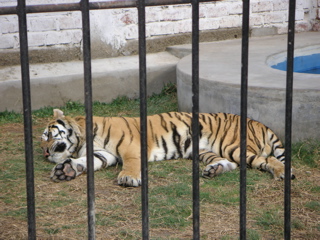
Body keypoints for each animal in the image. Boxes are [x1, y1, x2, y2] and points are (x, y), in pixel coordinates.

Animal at [40, 108, 296, 187]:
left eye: (47, 136)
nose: (45, 153)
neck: (84, 138)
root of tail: (260, 123)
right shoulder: (103, 154)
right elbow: (86, 162)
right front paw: (66, 170)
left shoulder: (132, 147)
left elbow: (131, 163)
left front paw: (128, 178)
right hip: (204, 150)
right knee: (229, 163)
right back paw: (214, 170)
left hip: (234, 146)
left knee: (269, 160)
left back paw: (283, 173)